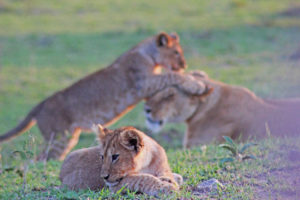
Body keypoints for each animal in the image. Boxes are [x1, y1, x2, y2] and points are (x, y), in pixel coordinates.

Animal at [0, 32, 206, 161]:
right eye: (176, 52)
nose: (184, 64)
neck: (148, 55)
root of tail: (40, 105)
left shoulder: (148, 85)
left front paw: (197, 77)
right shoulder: (143, 84)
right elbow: (172, 76)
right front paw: (196, 84)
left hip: (67, 138)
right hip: (58, 138)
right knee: (39, 160)